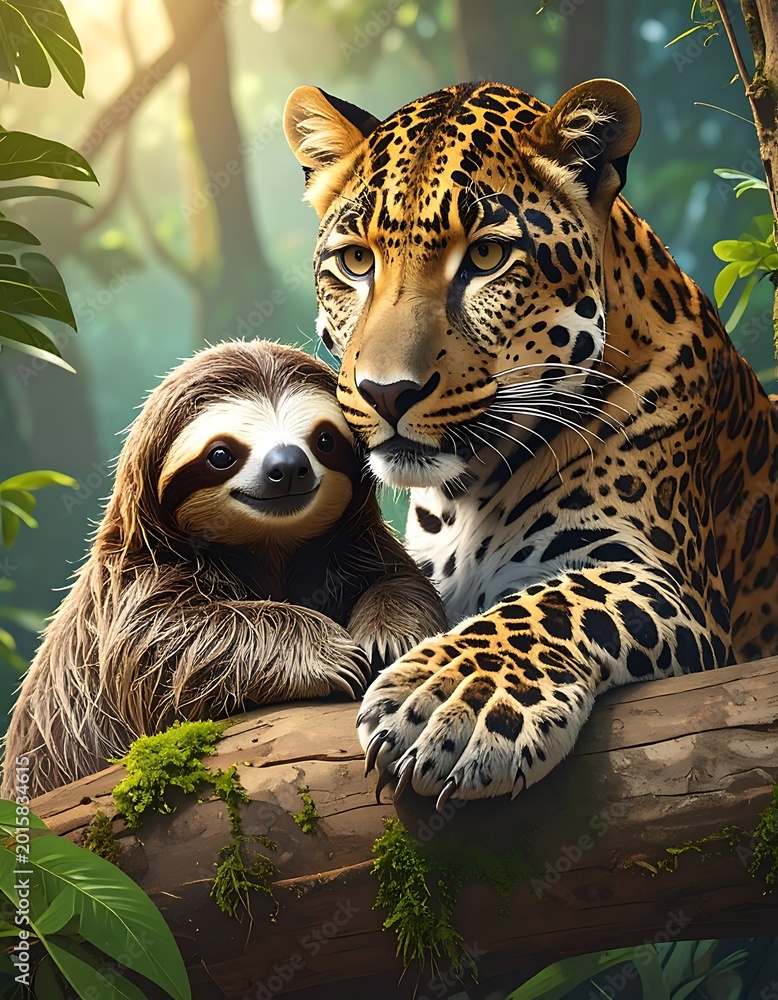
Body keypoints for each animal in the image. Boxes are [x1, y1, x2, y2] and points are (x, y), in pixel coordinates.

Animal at [284, 78, 778, 809]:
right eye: (356, 261)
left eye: (487, 258)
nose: (386, 393)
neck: (461, 497)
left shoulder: (666, 580)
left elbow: (554, 603)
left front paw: (448, 698)